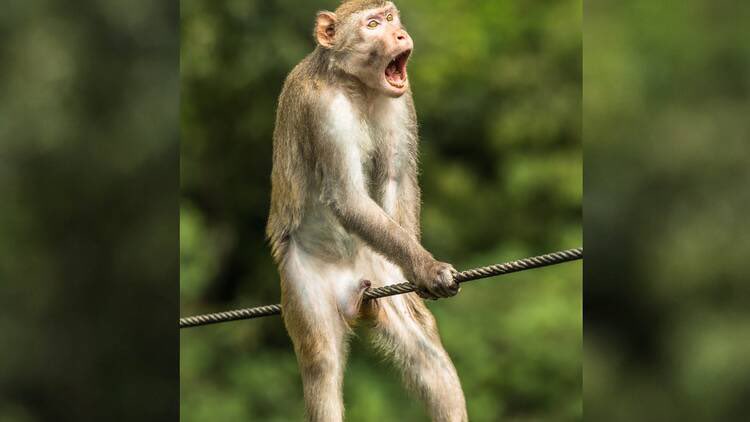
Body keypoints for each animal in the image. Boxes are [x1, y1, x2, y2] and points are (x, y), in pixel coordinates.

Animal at [266, 1, 467, 421]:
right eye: (372, 25)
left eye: (390, 18)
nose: (399, 34)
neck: (356, 86)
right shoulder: (322, 109)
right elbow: (347, 197)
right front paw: (427, 267)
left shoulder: (403, 100)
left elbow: (396, 178)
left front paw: (416, 271)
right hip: (303, 283)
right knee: (321, 363)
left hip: (375, 272)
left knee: (425, 352)